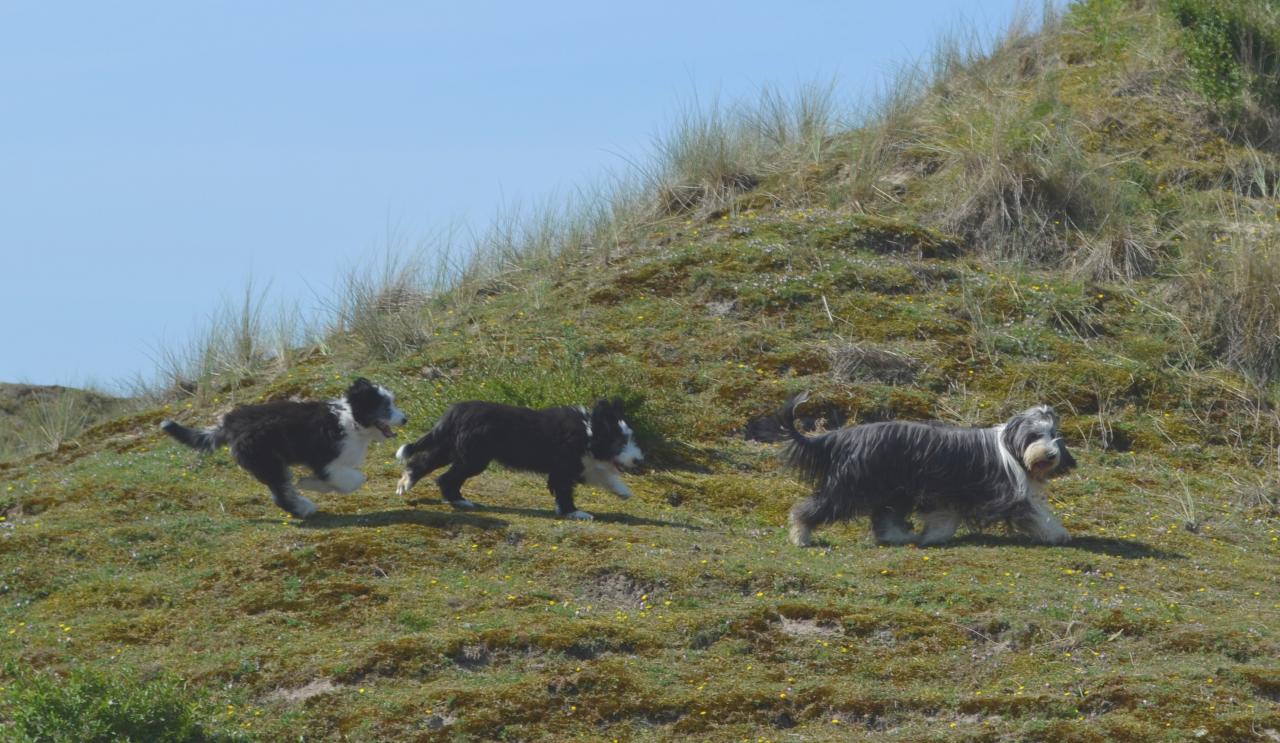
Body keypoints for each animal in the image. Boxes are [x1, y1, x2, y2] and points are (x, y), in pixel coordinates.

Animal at [158, 376, 404, 517]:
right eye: (385, 406)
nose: (405, 419)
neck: (352, 419)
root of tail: (229, 424)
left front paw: (309, 483)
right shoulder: (327, 460)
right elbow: (355, 480)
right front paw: (309, 484)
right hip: (268, 461)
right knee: (281, 494)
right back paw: (305, 508)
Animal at [394, 397, 645, 520]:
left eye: (630, 438)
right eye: (620, 443)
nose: (639, 460)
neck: (589, 431)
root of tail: (455, 411)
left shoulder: (580, 464)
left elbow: (602, 474)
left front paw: (623, 491)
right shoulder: (565, 467)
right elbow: (565, 490)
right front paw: (574, 513)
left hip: (451, 448)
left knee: (422, 463)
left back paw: (407, 483)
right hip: (474, 457)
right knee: (446, 477)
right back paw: (458, 500)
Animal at [773, 391, 1075, 548]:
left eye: (1053, 435)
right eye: (1035, 435)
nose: (1051, 454)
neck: (1012, 448)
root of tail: (845, 436)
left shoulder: (949, 492)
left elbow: (944, 518)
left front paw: (932, 537)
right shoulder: (1007, 493)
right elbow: (1036, 513)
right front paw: (1057, 534)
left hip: (893, 489)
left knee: (885, 516)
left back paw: (901, 536)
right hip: (853, 485)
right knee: (815, 507)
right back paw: (800, 535)